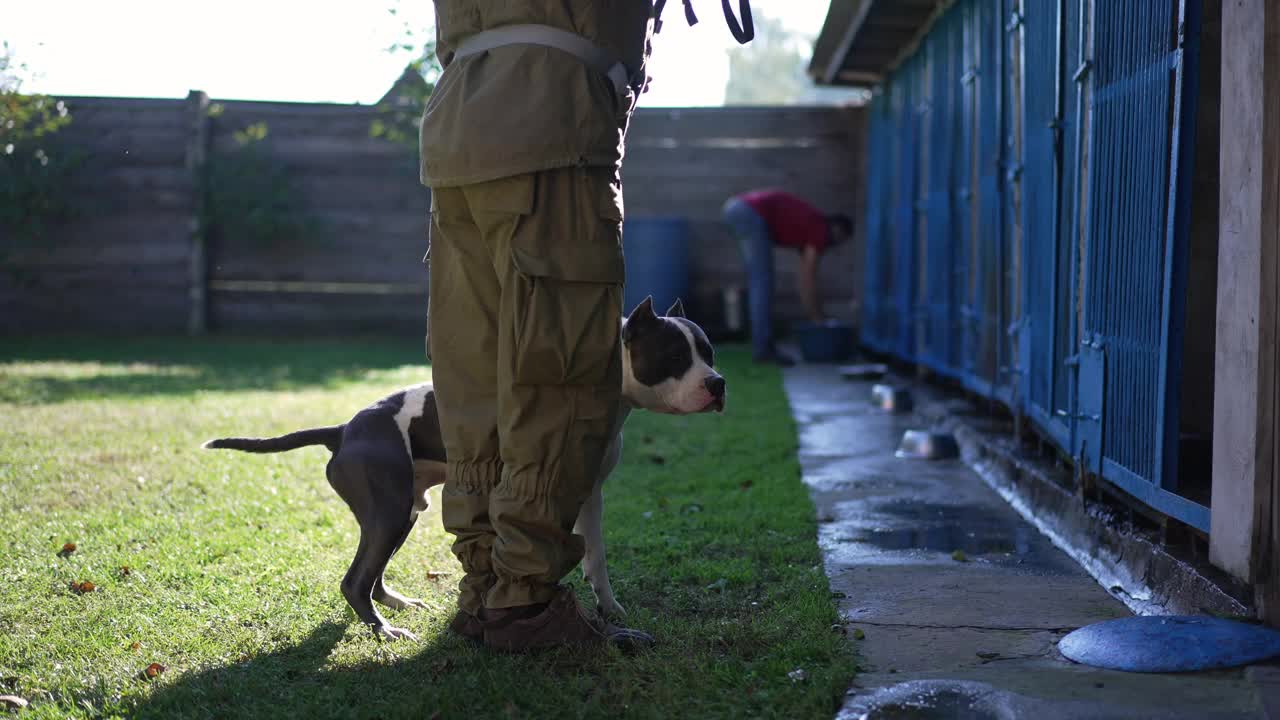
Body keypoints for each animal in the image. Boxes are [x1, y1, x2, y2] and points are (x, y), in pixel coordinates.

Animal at [198, 295, 721, 638]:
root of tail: (344, 429)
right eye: (674, 356)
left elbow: (596, 557)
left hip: (401, 513)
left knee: (373, 573)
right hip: (388, 511)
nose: (718, 384)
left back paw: (397, 605)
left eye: (710, 353)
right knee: (355, 579)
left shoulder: (588, 492)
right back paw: (384, 631)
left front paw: (609, 608)